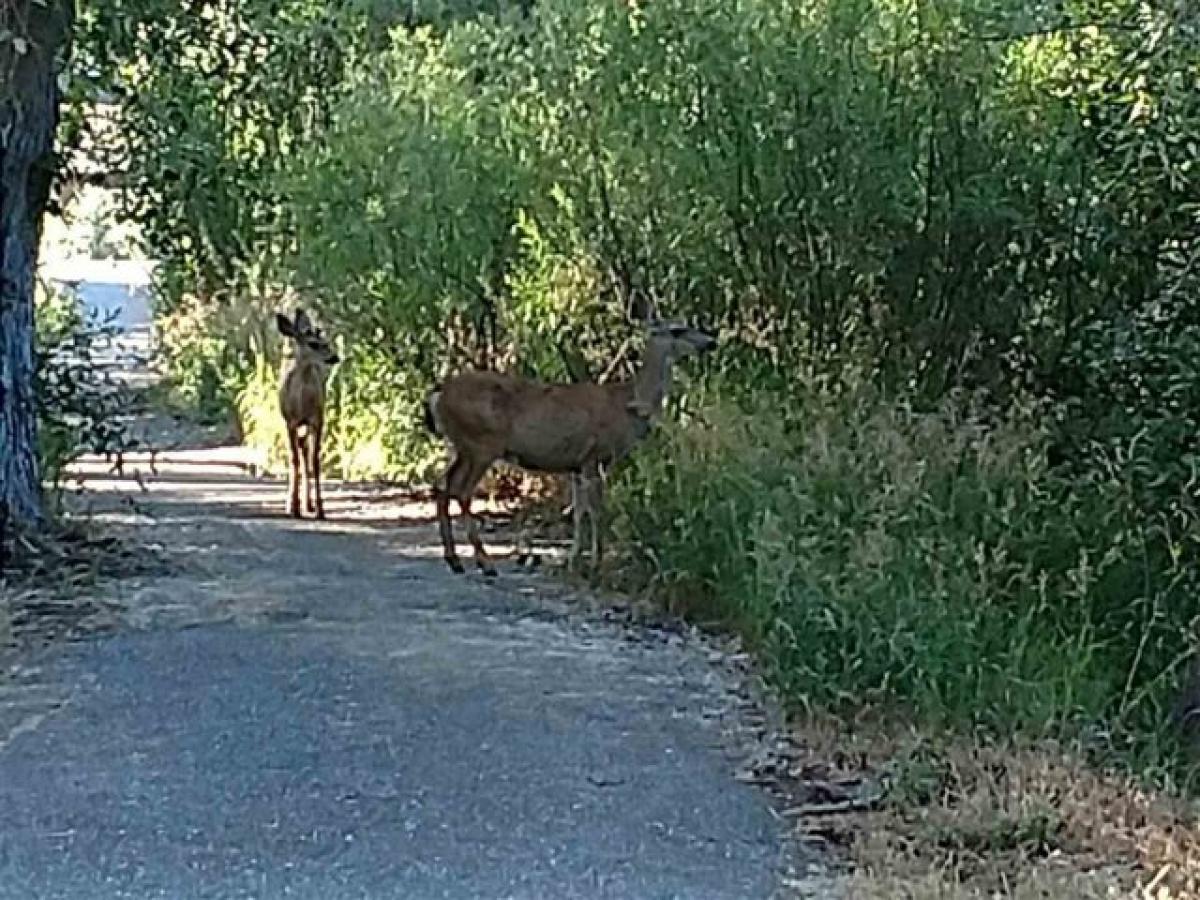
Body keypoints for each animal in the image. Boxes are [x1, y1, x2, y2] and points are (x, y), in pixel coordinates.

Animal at [274, 309, 338, 520]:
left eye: (326, 341)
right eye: (313, 344)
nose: (335, 357)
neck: (302, 403)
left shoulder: (317, 420)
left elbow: (315, 460)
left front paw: (320, 509)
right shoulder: (290, 422)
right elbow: (294, 459)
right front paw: (293, 507)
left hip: (308, 425)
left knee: (305, 451)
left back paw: (308, 504)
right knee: (298, 453)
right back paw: (294, 504)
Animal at [427, 321, 715, 578]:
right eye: (678, 330)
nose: (710, 342)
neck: (627, 405)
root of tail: (438, 397)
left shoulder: (576, 465)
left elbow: (578, 513)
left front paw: (573, 561)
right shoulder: (595, 457)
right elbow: (597, 512)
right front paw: (596, 564)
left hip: (463, 446)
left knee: (443, 485)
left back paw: (455, 560)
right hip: (482, 444)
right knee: (462, 491)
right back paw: (485, 563)